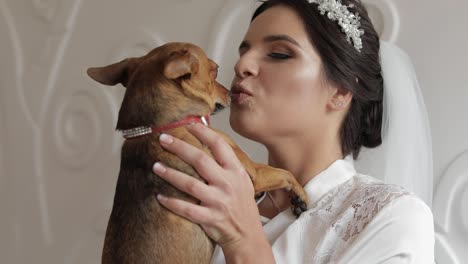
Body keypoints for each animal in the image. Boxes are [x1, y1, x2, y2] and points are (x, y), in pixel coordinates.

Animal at [86, 42, 308, 264]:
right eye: (215, 70)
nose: (231, 92)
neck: (157, 126)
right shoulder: (251, 173)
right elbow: (284, 173)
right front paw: (301, 195)